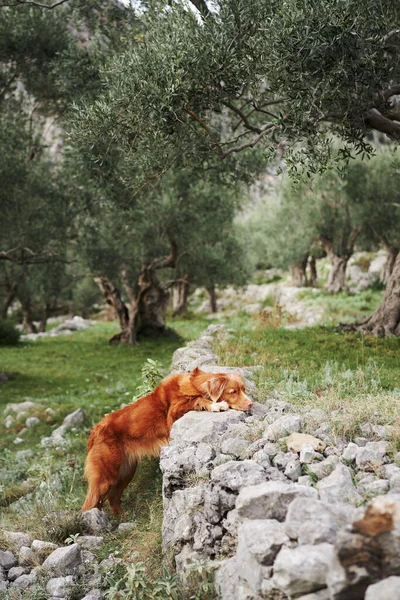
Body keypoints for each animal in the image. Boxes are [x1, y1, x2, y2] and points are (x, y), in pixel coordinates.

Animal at [81, 366, 253, 516]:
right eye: (233, 392)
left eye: (244, 390)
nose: (251, 403)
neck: (194, 384)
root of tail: (94, 431)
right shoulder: (173, 413)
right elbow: (198, 399)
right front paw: (216, 405)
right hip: (106, 476)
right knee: (89, 505)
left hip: (125, 472)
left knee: (112, 498)